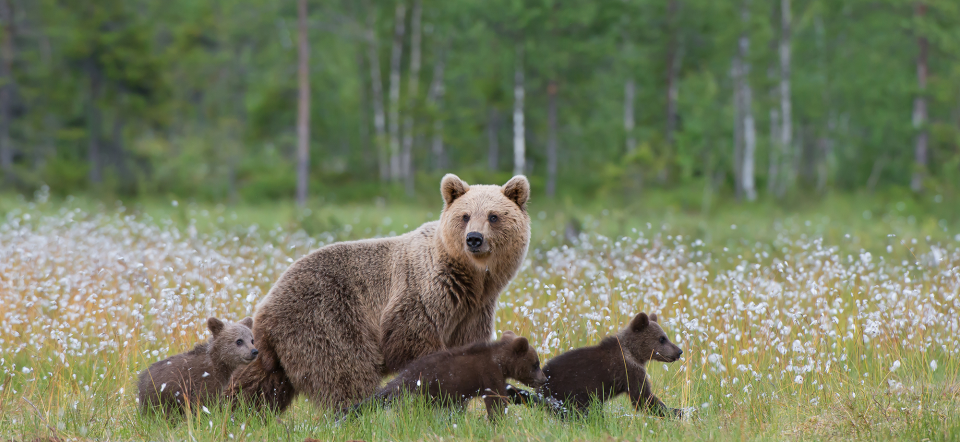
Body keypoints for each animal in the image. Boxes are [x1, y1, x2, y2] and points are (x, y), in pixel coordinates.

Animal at [232, 174, 532, 410]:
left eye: (493, 216)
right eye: (465, 215)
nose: (474, 239)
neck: (470, 280)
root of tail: (266, 306)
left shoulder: (473, 311)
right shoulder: (421, 293)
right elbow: (411, 338)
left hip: (275, 348)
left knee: (259, 383)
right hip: (325, 319)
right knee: (345, 372)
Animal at [340, 332, 548, 422]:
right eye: (535, 364)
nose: (543, 379)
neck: (501, 362)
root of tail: (404, 375)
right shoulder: (488, 372)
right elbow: (495, 398)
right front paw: (498, 419)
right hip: (421, 388)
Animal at [510, 312, 684, 420]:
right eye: (662, 338)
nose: (679, 351)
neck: (633, 353)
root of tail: (541, 386)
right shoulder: (629, 370)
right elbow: (643, 397)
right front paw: (677, 411)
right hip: (568, 393)